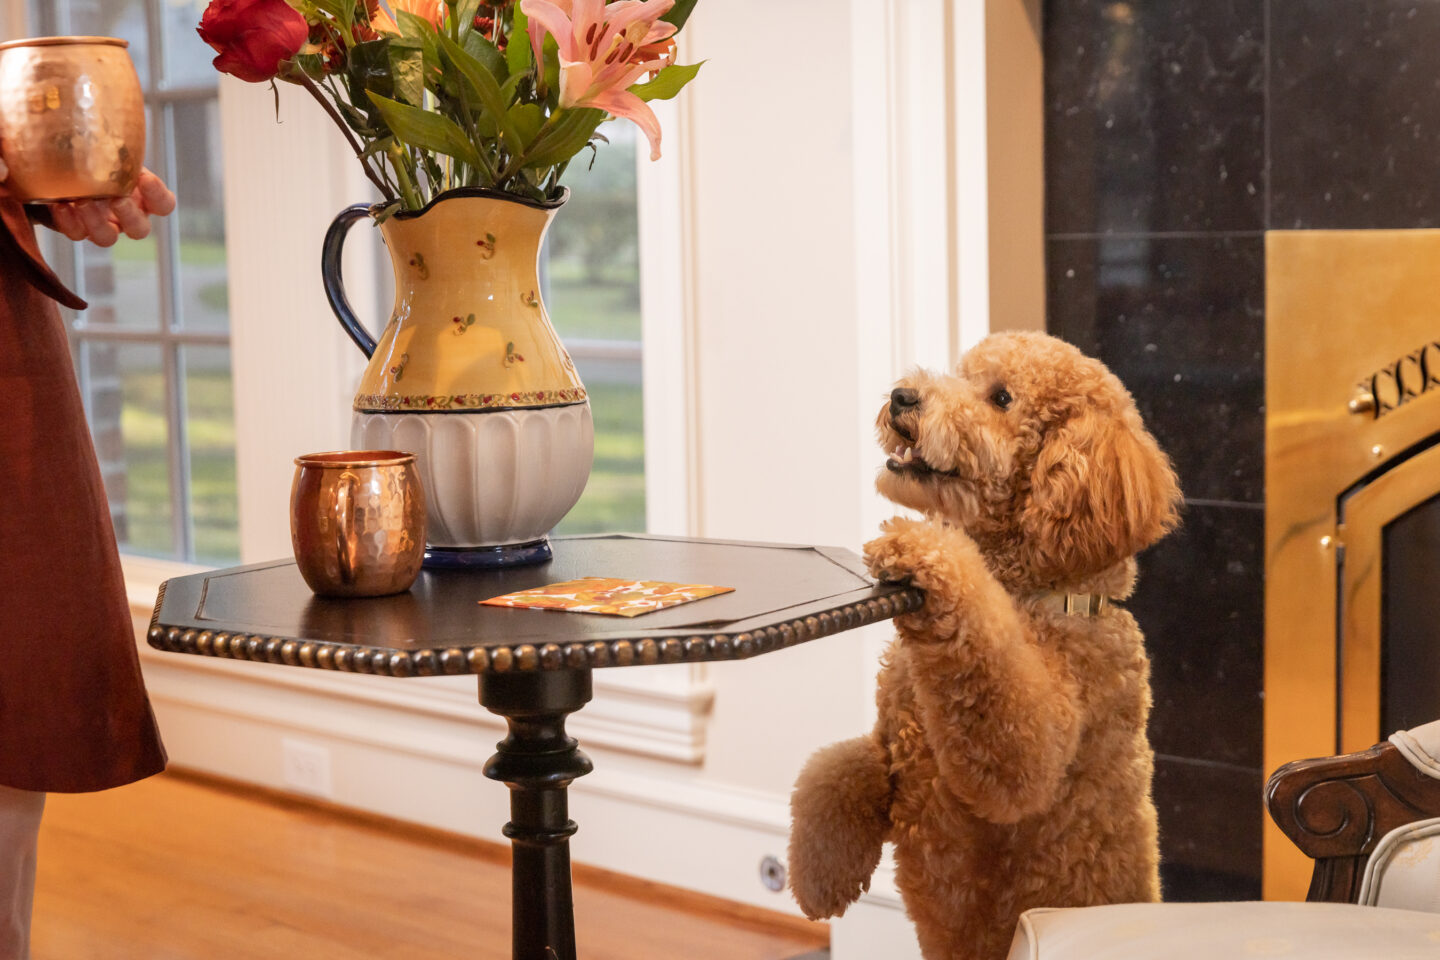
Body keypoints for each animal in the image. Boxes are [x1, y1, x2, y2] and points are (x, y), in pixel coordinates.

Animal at [789, 332, 1180, 960]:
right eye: (961, 373)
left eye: (1001, 398)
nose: (903, 396)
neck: (1026, 594)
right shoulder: (891, 740)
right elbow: (834, 769)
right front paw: (819, 878)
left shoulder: (1025, 752)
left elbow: (999, 713)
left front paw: (920, 549)